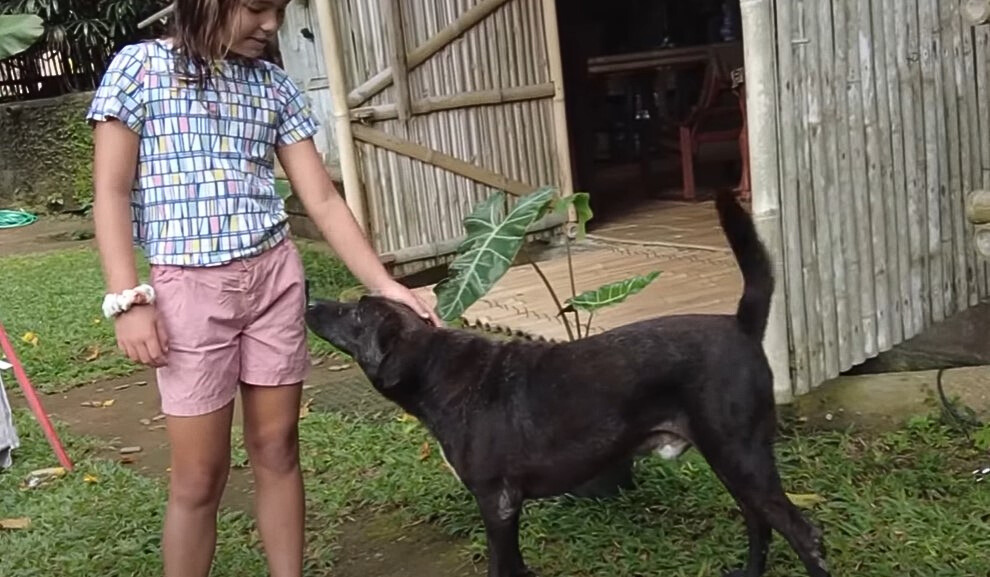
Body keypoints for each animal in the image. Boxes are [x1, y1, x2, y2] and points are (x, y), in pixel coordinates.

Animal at [306, 192, 832, 576]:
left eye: (355, 314)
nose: (310, 302)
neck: (438, 368)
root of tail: (741, 324)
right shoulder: (507, 510)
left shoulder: (496, 504)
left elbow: (501, 567)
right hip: (731, 462)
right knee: (760, 526)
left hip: (741, 457)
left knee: (802, 534)